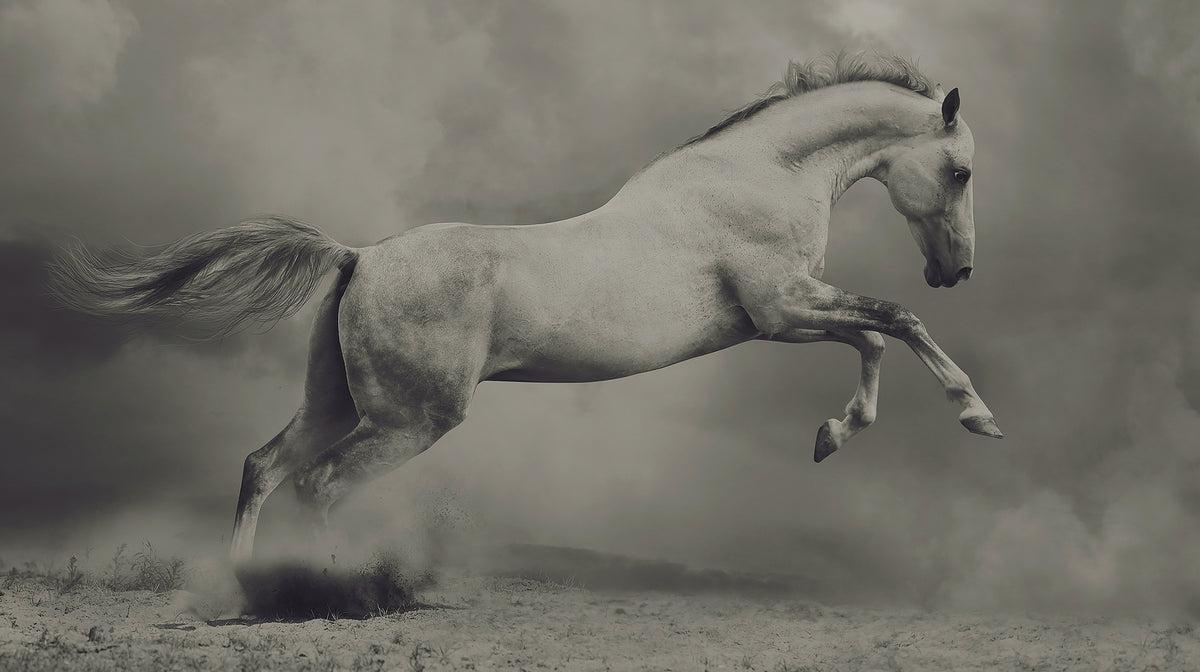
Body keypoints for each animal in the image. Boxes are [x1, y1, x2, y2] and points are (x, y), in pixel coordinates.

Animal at [48, 53, 1002, 566]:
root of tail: (359, 257)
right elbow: (894, 325)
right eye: (960, 172)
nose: (956, 271)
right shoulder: (783, 309)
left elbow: (876, 340)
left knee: (264, 467)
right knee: (319, 484)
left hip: (336, 401)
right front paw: (976, 416)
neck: (759, 175)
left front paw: (832, 435)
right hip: (410, 419)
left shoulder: (790, 315)